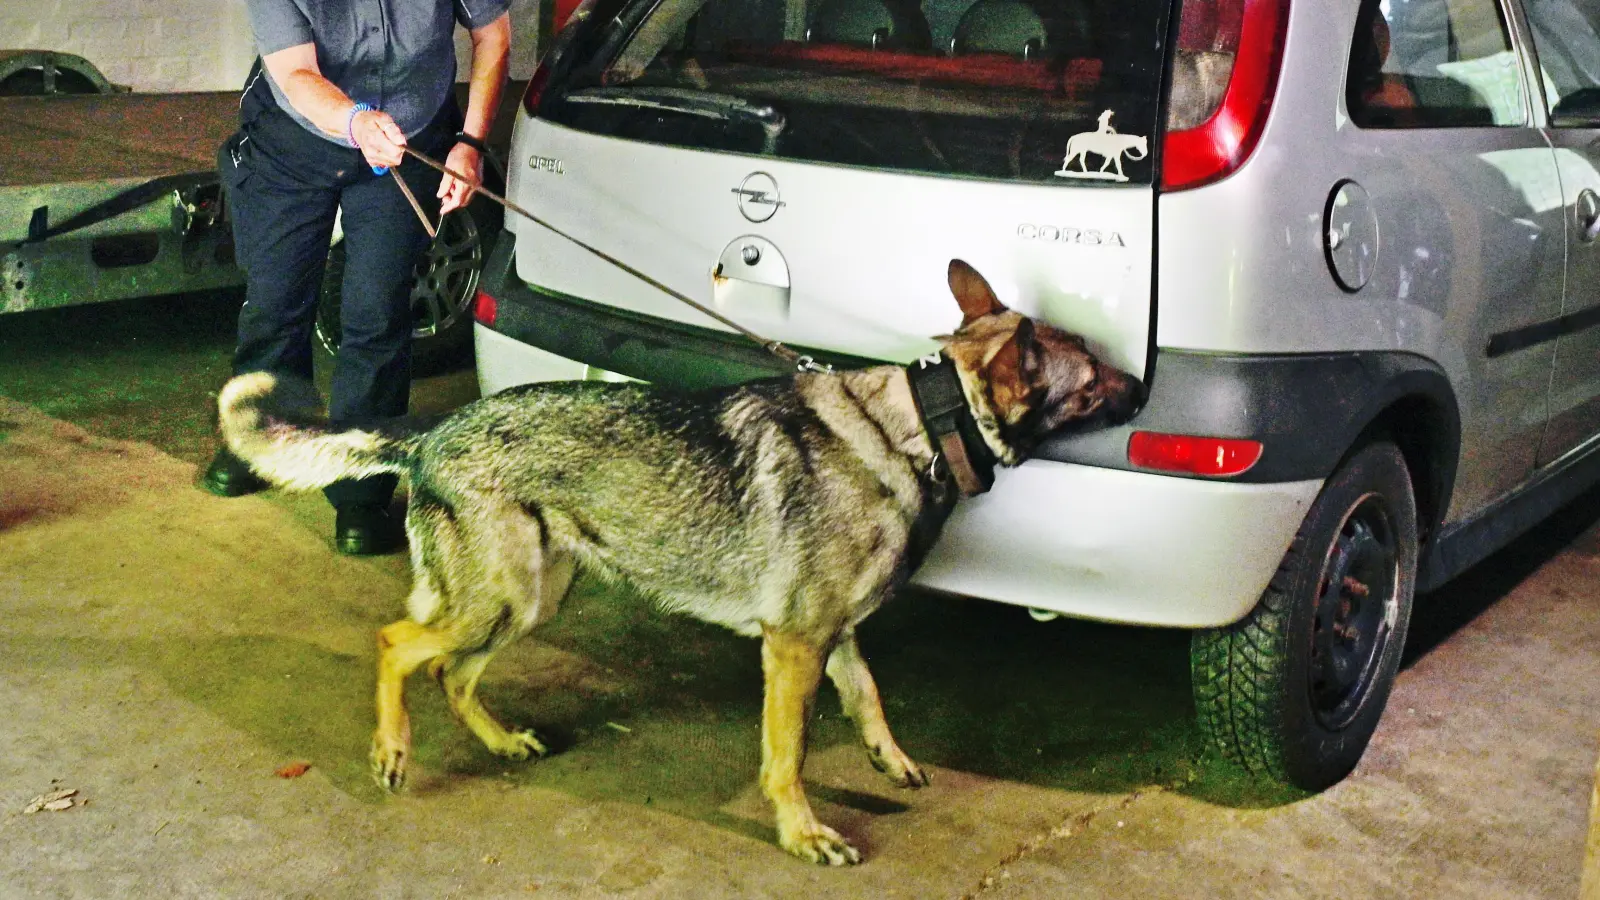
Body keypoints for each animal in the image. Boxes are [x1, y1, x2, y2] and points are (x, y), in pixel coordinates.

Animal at [219, 261, 1145, 864]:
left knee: (452, 672)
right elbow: (788, 755)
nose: (1143, 387)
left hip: (533, 600)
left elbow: (871, 698)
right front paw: (801, 833)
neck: (917, 423)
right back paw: (392, 750)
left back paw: (503, 740)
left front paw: (889, 759)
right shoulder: (794, 647)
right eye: (1095, 376)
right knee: (395, 646)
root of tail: (425, 436)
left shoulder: (836, 634)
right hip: (500, 600)